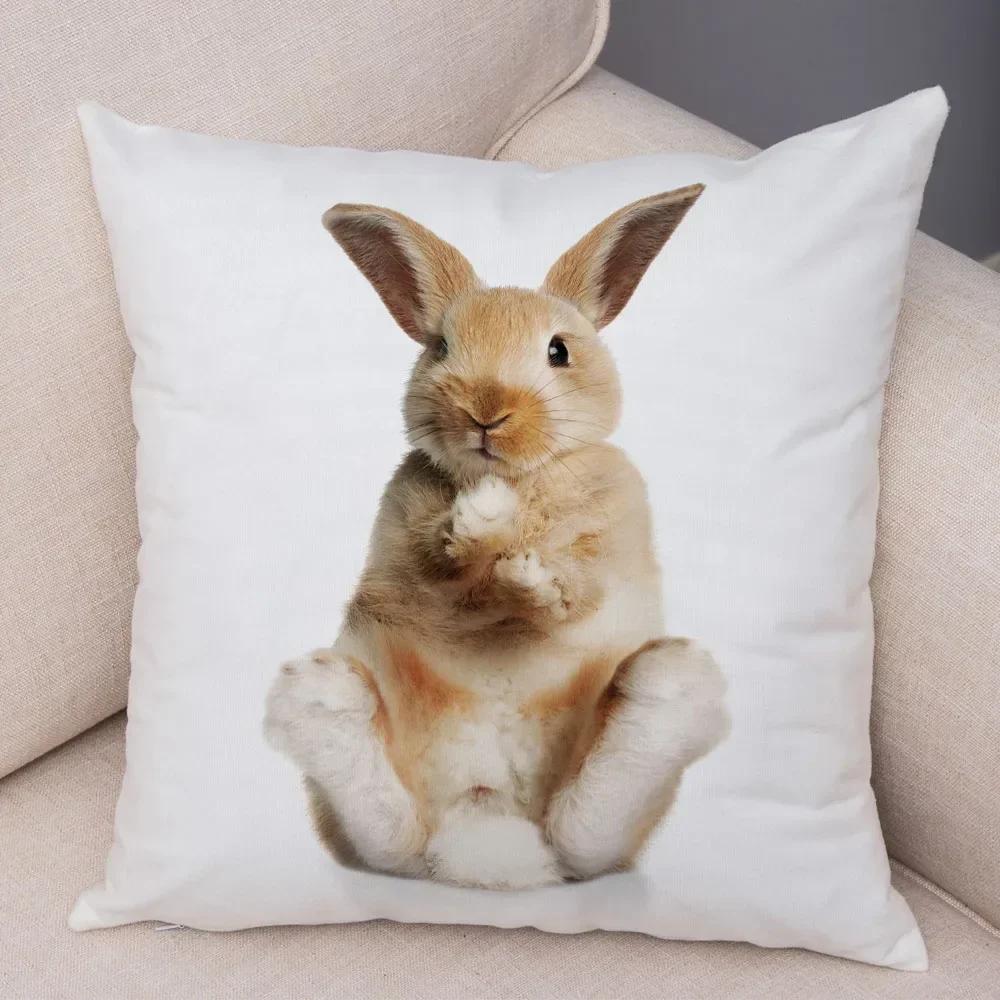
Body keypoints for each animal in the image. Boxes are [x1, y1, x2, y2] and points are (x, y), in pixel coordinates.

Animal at [263, 185, 730, 890]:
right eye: (440, 348)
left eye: (559, 350)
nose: (486, 411)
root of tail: (486, 844)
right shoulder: (409, 542)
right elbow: (441, 570)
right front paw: (481, 522)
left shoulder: (608, 541)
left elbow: (572, 590)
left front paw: (523, 569)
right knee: (388, 835)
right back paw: (323, 693)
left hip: (603, 812)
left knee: (587, 829)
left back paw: (666, 683)